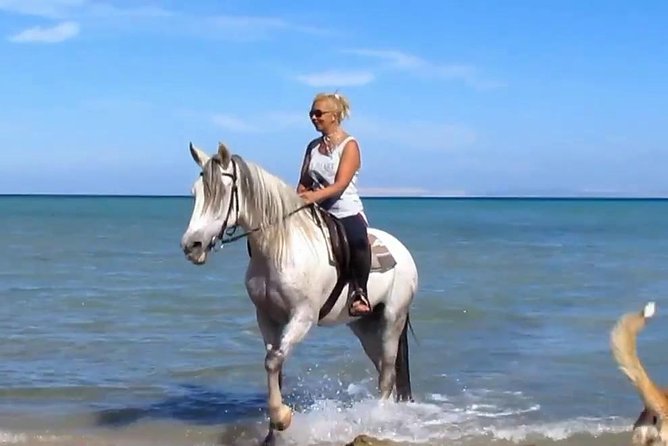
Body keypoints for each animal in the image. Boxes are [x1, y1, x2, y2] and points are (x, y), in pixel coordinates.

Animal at [180, 141, 419, 444]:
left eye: (222, 192)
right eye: (195, 192)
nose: (191, 245)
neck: (279, 247)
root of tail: (403, 251)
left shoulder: (302, 318)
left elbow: (273, 362)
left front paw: (282, 419)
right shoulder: (267, 319)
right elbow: (275, 368)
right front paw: (273, 433)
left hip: (392, 320)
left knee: (387, 373)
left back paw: (378, 420)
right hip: (364, 326)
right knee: (382, 370)